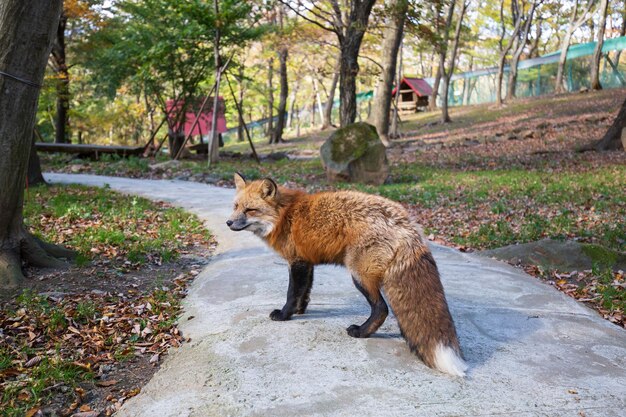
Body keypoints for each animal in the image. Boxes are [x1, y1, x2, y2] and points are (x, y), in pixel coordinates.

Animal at [227, 172, 466, 376]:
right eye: (236, 206)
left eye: (250, 210)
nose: (228, 222)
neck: (285, 215)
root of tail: (406, 222)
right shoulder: (307, 262)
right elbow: (304, 292)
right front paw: (300, 311)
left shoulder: (297, 262)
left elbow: (291, 293)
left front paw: (285, 314)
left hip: (359, 275)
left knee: (382, 308)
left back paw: (361, 332)